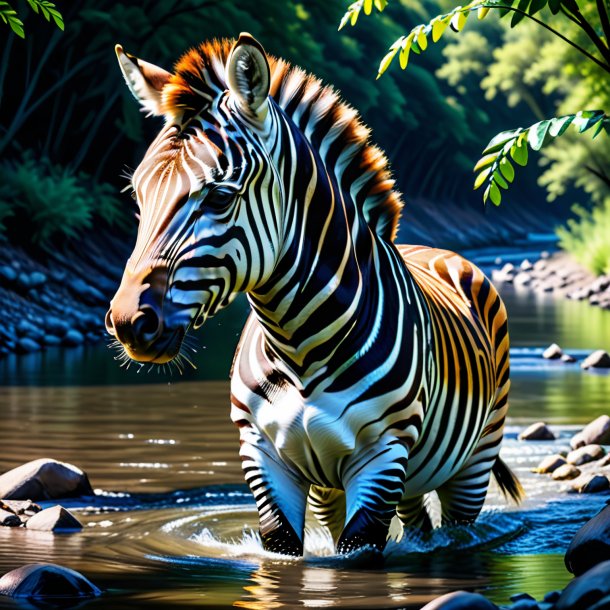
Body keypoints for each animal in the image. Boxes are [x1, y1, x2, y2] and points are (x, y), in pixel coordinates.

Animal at [105, 33, 524, 556]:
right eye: (139, 197)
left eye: (220, 197)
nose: (128, 323)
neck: (298, 343)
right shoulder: (264, 456)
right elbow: (284, 547)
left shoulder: (383, 454)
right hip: (362, 482)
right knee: (418, 525)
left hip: (471, 462)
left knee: (455, 525)